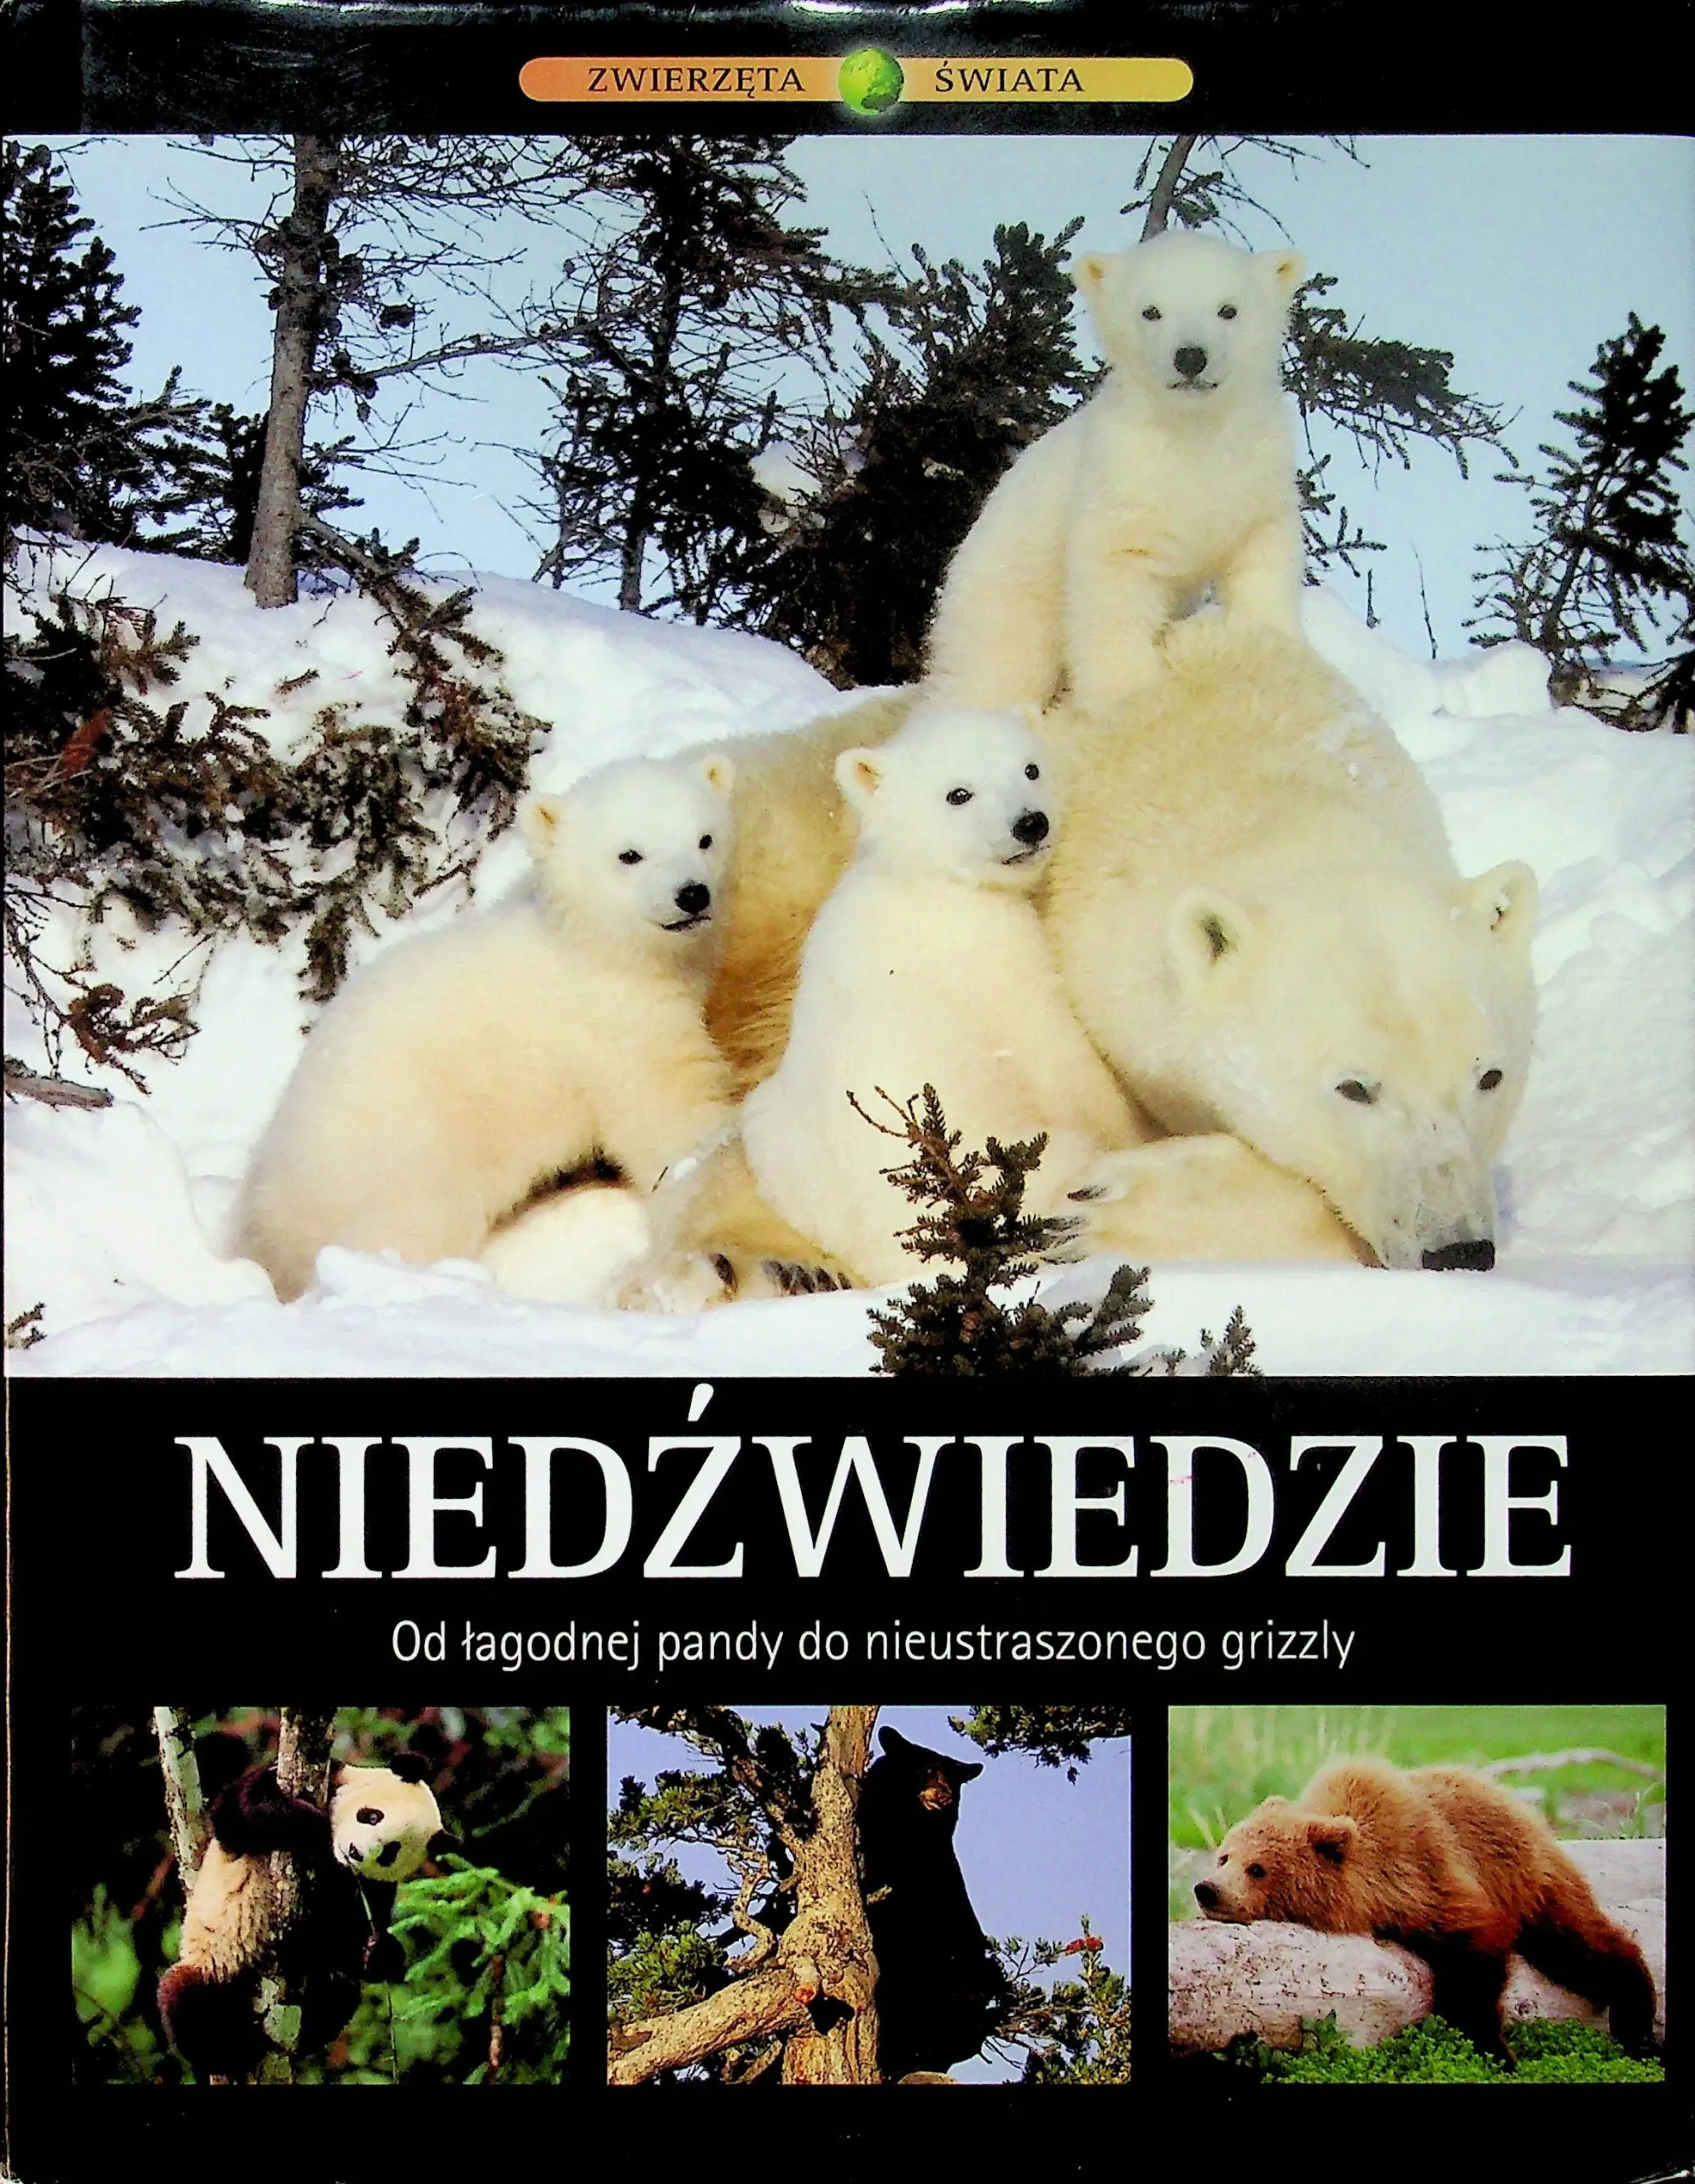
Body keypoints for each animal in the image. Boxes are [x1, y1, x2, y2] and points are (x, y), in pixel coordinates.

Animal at [235, 751, 738, 1301]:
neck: (596, 952)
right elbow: (668, 1120)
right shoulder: (617, 1030)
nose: (692, 894)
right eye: (630, 855)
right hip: (401, 1164)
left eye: (705, 838)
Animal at [924, 228, 1306, 718]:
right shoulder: (1122, 480)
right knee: (993, 671)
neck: (1192, 430)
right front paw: (1128, 695)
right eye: (1150, 311)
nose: (1190, 357)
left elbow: (1262, 557)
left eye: (1228, 309)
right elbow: (1114, 586)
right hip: (1007, 601)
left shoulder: (1257, 471)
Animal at [1193, 1757, 1659, 2062]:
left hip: (1531, 1876)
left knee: (1580, 1945)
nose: (1207, 1890)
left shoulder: (1428, 1877)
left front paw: (1494, 2050)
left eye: (1258, 1868)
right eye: (1224, 1856)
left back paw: (1637, 2022)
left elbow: (1475, 1954)